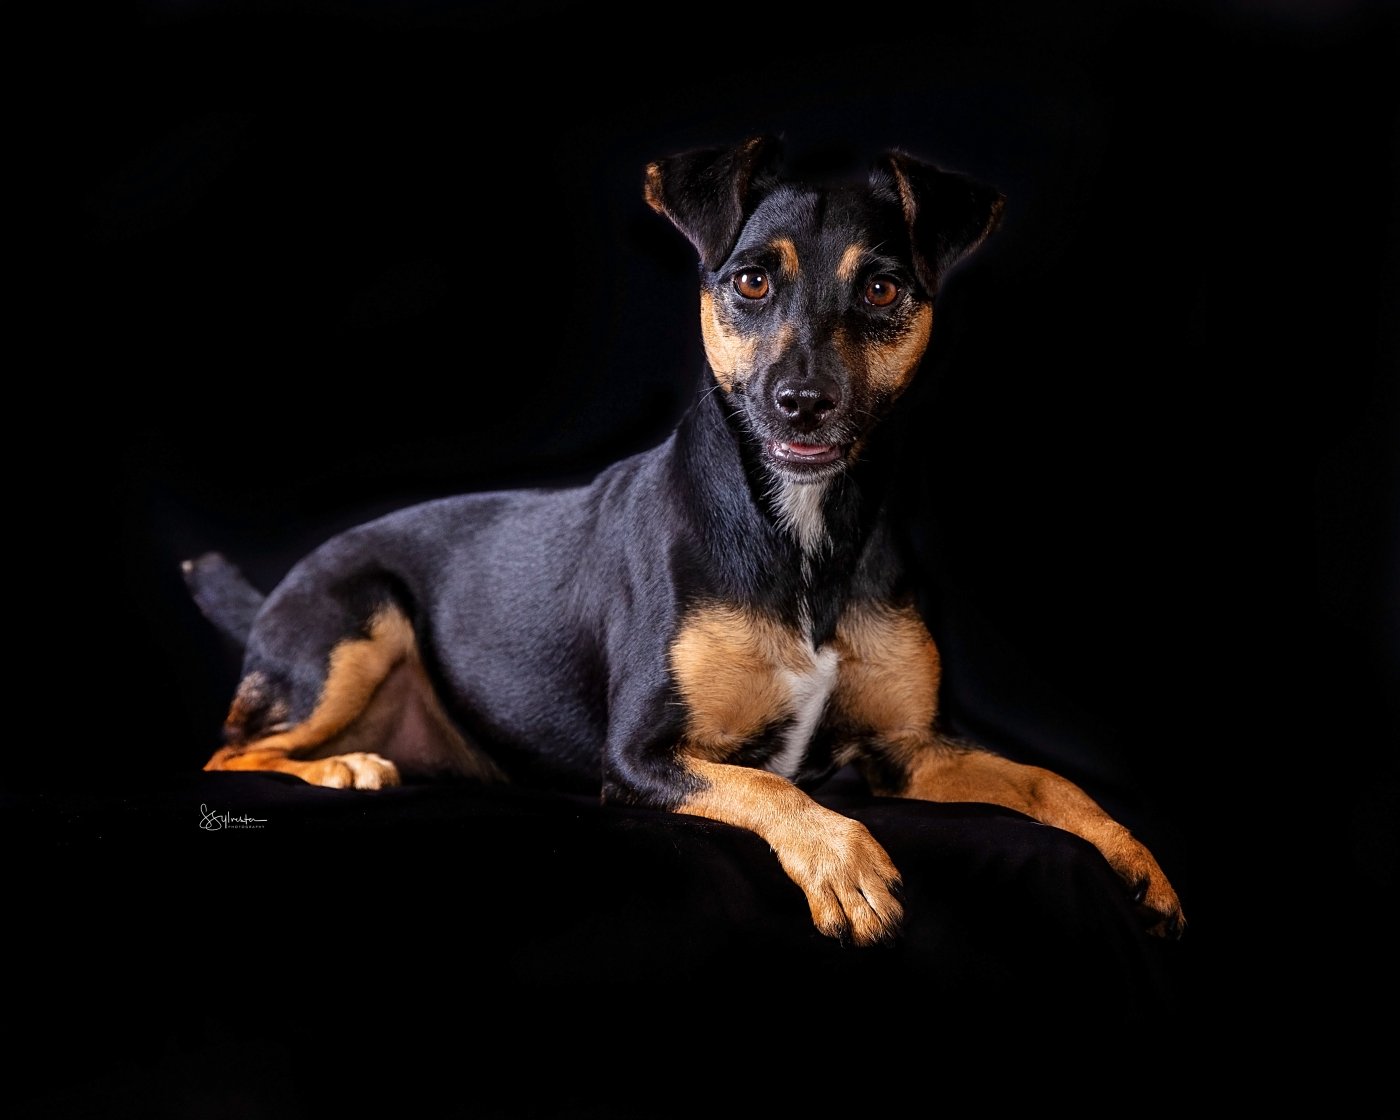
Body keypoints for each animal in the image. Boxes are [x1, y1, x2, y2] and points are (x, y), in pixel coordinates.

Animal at [187, 136, 1184, 945]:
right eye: (751, 281)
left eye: (883, 289)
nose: (803, 402)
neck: (799, 529)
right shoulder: (639, 758)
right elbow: (772, 786)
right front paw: (846, 863)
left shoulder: (912, 747)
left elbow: (1052, 784)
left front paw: (1134, 858)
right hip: (355, 625)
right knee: (230, 753)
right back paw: (344, 765)